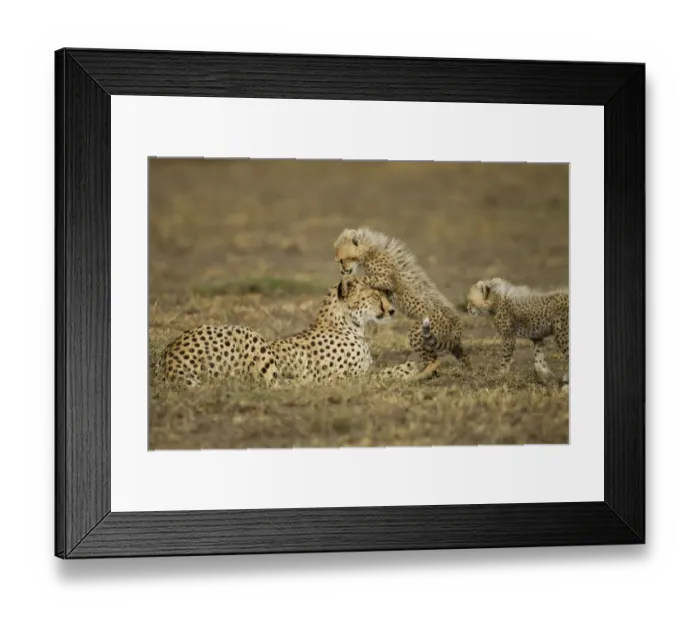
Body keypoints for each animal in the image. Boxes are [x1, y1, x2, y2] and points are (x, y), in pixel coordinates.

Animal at [152, 275, 440, 389]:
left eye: (386, 294)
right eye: (374, 295)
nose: (391, 310)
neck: (346, 324)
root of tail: (168, 358)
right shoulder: (345, 378)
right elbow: (383, 373)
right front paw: (416, 366)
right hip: (247, 333)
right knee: (271, 384)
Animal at [333, 226, 470, 376]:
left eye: (342, 260)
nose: (342, 270)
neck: (370, 251)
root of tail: (455, 317)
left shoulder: (387, 280)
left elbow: (363, 278)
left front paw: (347, 280)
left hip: (420, 332)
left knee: (433, 358)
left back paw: (422, 373)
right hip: (445, 339)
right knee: (459, 352)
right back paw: (465, 368)